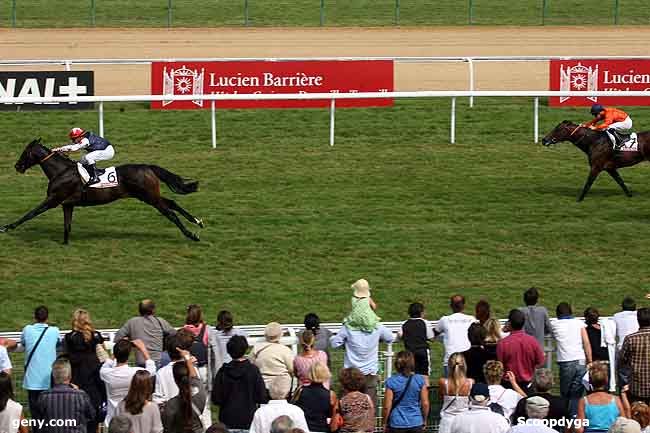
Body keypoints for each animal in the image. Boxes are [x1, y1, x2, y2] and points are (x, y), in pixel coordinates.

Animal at [0, 138, 202, 241]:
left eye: (26, 152)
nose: (17, 166)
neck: (61, 171)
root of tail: (148, 167)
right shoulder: (67, 204)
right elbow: (67, 226)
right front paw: (65, 244)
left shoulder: (53, 200)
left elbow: (30, 213)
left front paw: (7, 227)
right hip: (149, 195)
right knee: (173, 203)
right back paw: (197, 221)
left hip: (149, 197)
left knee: (170, 213)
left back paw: (191, 235)